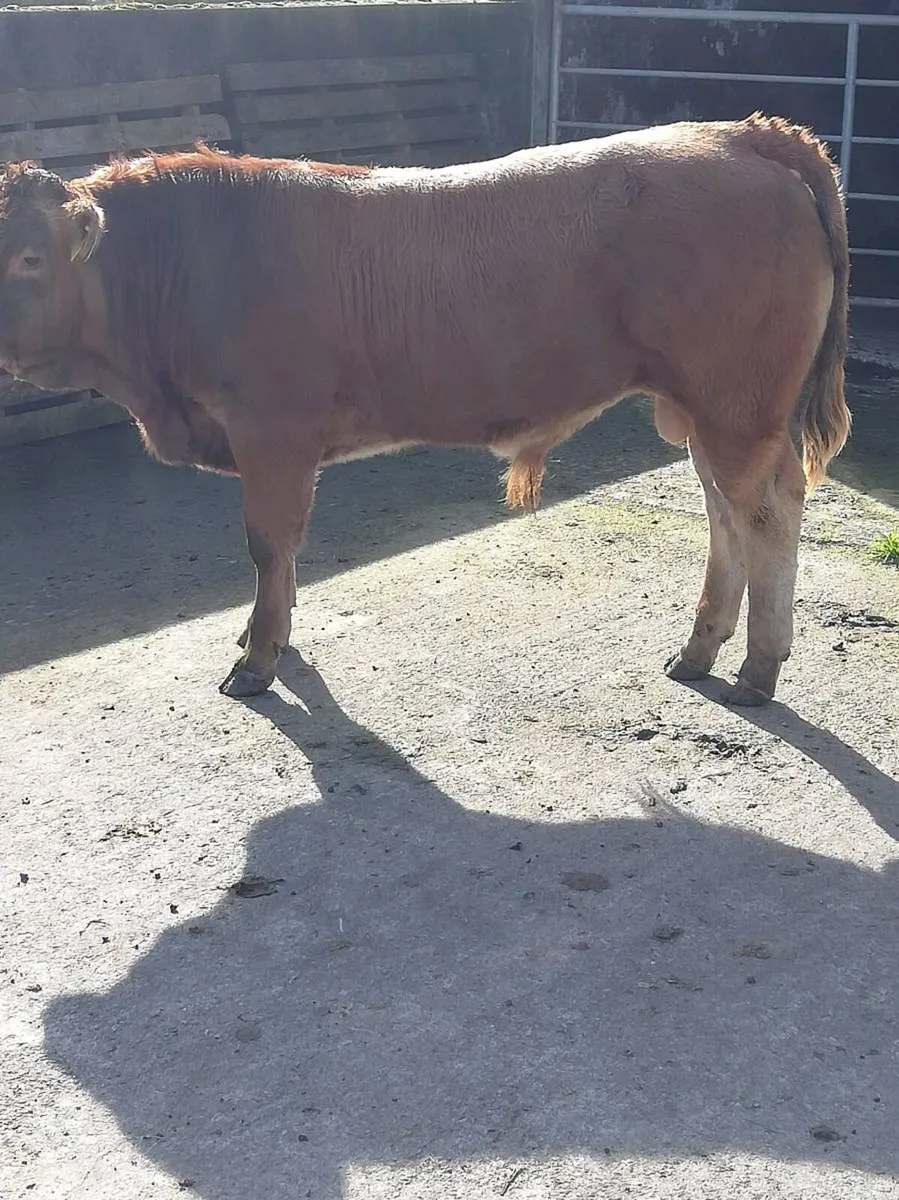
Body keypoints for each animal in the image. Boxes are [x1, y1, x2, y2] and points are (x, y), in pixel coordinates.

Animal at [0, 113, 850, 705]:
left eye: (30, 257)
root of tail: (735, 133)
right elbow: (284, 554)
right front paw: (266, 634)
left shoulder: (273, 431)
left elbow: (268, 546)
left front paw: (258, 658)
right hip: (703, 410)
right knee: (723, 513)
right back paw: (700, 650)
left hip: (736, 404)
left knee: (766, 512)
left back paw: (757, 669)